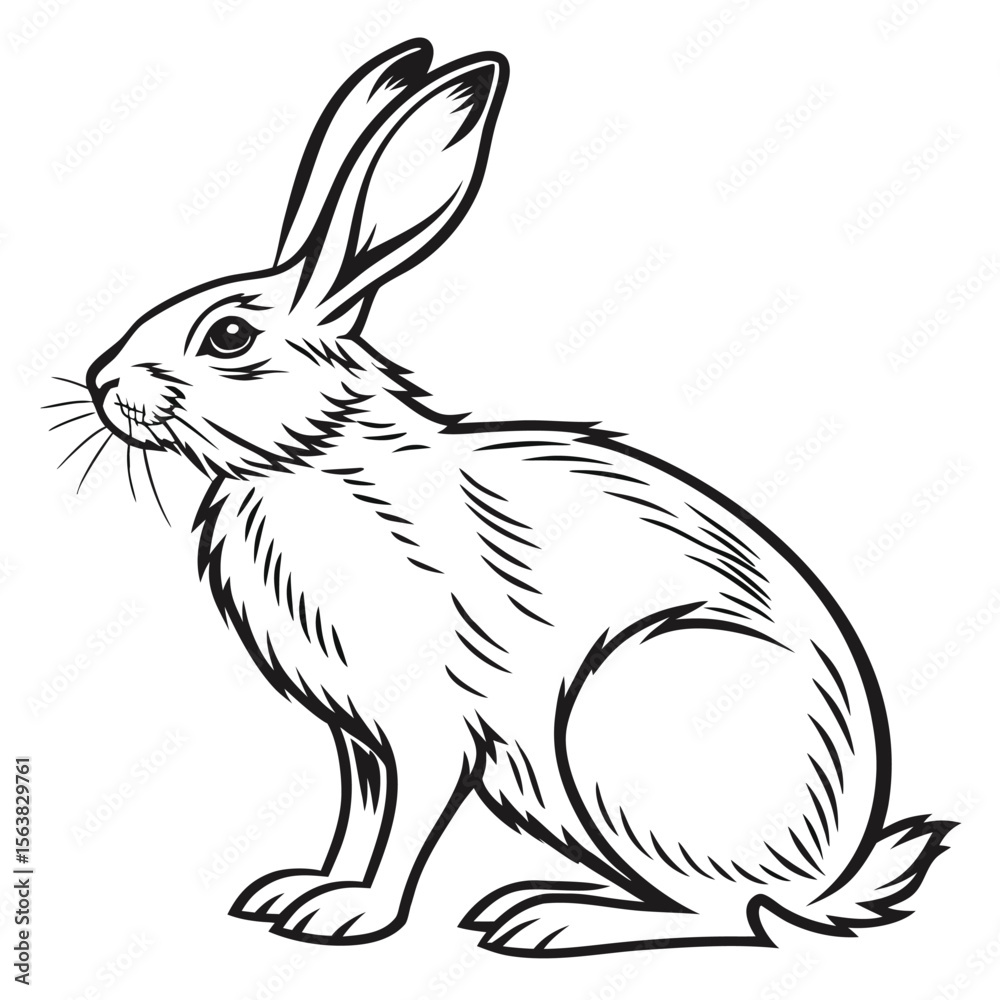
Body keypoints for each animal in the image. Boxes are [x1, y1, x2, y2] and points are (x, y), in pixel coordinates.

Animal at [69, 39, 953, 956]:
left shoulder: (430, 725)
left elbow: (404, 826)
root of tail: (832, 870)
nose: (100, 382)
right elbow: (359, 816)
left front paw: (352, 915)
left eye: (229, 336)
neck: (314, 460)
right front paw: (298, 892)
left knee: (734, 913)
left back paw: (549, 920)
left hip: (619, 731)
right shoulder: (357, 737)